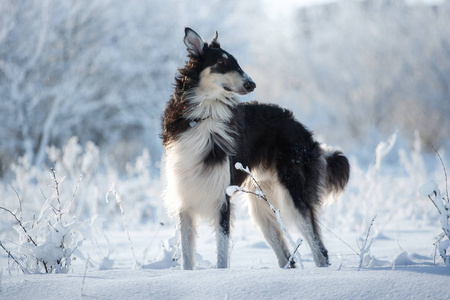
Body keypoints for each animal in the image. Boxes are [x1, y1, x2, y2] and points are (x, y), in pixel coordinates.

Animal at [163, 28, 350, 270]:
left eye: (237, 63)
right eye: (222, 63)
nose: (252, 84)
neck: (204, 117)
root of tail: (304, 131)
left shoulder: (222, 199)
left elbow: (221, 256)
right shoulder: (184, 199)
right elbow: (187, 257)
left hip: (292, 194)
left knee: (320, 250)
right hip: (262, 205)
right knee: (287, 258)